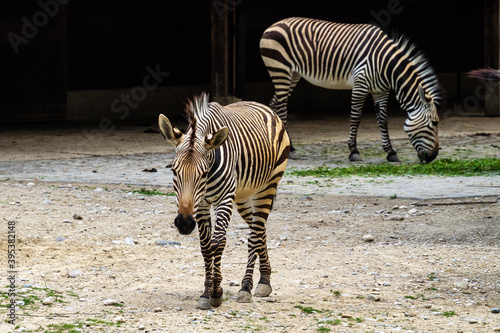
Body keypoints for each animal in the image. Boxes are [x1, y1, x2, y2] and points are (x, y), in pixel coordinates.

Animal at [158, 92, 292, 308]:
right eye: (173, 171)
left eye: (203, 173)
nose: (184, 223)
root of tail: (263, 106)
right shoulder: (202, 205)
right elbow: (206, 246)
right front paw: (206, 293)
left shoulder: (225, 199)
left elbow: (218, 241)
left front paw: (216, 292)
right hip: (244, 196)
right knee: (259, 229)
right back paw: (265, 279)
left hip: (267, 187)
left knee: (254, 235)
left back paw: (247, 287)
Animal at [260, 17, 444, 163]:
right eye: (434, 123)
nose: (433, 157)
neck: (387, 66)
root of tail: (273, 25)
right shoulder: (360, 84)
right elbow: (355, 118)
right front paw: (354, 151)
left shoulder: (381, 91)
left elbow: (383, 120)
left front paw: (390, 152)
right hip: (280, 69)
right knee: (282, 107)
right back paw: (290, 149)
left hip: (293, 74)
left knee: (274, 103)